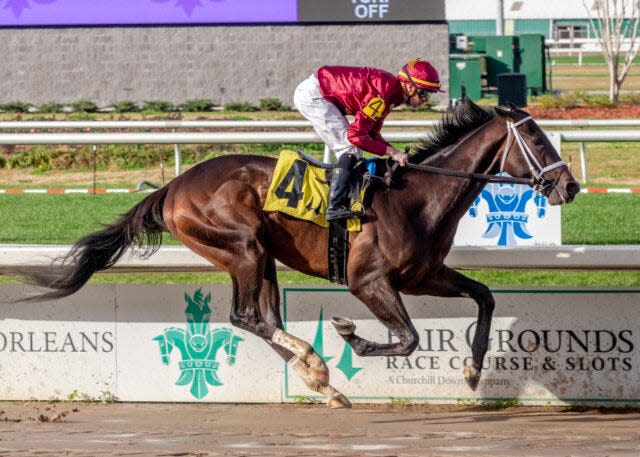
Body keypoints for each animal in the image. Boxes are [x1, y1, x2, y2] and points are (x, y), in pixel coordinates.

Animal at [8, 99, 580, 406]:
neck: (418, 196)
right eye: (537, 139)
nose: (569, 186)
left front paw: (473, 370)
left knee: (264, 318)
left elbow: (483, 297)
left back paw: (318, 379)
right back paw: (315, 365)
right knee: (245, 316)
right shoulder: (368, 282)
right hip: (243, 246)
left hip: (262, 259)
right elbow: (409, 339)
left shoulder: (423, 275)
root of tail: (172, 187)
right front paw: (351, 336)